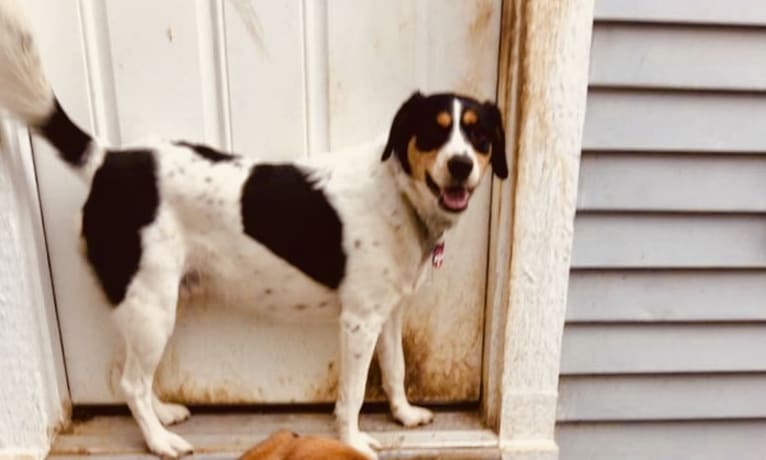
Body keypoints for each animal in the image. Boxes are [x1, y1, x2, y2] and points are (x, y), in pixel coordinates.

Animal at [1, 1, 510, 458]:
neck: (398, 194)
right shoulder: (358, 321)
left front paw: (403, 415)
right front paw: (353, 442)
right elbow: (352, 396)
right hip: (152, 305)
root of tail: (107, 160)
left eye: (479, 136)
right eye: (433, 131)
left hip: (148, 306)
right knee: (129, 384)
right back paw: (160, 441)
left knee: (136, 380)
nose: (461, 165)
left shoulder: (389, 314)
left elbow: (397, 369)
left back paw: (163, 414)